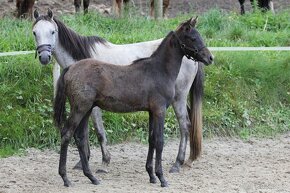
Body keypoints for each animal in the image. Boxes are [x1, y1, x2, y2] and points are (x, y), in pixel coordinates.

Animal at [32, 8, 213, 173]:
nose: (44, 57)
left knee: (185, 125)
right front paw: (83, 162)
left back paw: (178, 163)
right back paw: (188, 160)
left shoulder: (93, 106)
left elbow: (98, 131)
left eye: (52, 31)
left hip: (178, 99)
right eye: (35, 33)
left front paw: (104, 162)